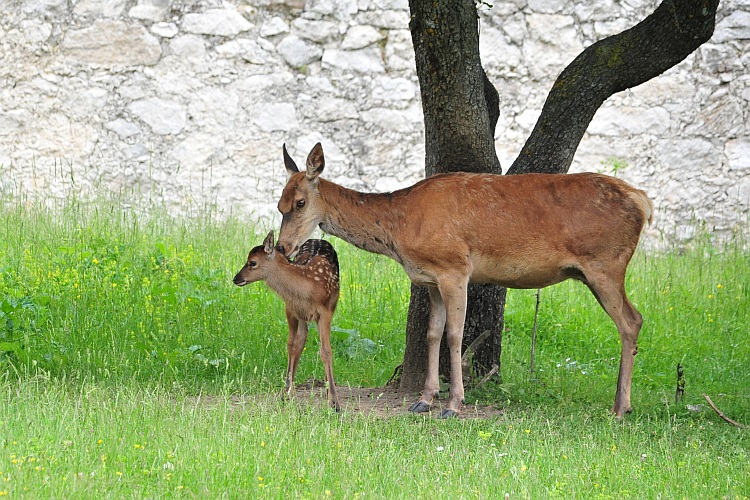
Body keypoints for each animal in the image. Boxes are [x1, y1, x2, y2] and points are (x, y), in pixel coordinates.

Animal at [234, 230, 342, 410]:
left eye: (252, 262)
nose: (236, 278)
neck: (307, 287)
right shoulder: (290, 308)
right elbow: (291, 346)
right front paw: (285, 392)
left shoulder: (325, 311)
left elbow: (326, 351)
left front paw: (334, 401)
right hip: (302, 315)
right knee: (301, 340)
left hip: (330, 304)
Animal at [276, 144, 652, 418]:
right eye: (279, 205)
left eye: (299, 202)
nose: (281, 247)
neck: (401, 229)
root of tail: (643, 202)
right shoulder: (429, 278)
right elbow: (432, 333)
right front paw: (425, 400)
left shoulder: (454, 268)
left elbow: (455, 335)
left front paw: (454, 405)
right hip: (595, 270)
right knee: (633, 319)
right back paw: (621, 404)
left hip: (606, 264)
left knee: (631, 320)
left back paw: (621, 408)